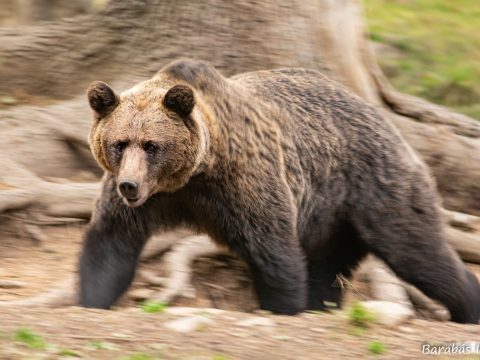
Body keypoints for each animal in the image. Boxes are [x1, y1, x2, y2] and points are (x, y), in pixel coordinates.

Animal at [81, 59, 480, 324]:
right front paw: (90, 298)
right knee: (328, 268)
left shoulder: (243, 184)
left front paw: (283, 306)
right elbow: (110, 244)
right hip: (333, 220)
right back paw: (323, 305)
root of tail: (379, 113)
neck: (193, 174)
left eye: (152, 145)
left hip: (370, 185)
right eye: (119, 143)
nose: (130, 185)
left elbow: (274, 253)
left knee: (416, 249)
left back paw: (467, 306)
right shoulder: (147, 201)